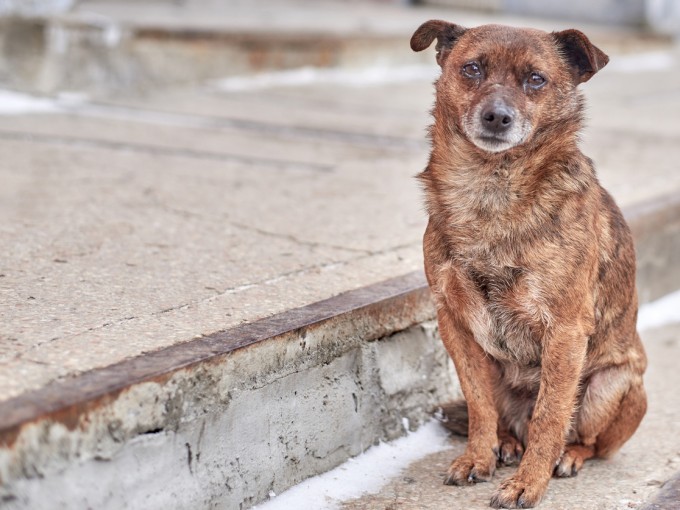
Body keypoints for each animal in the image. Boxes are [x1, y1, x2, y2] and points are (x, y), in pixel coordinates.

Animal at [410, 18, 648, 506]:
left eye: (536, 79)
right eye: (472, 68)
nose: (497, 116)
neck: (491, 188)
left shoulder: (565, 330)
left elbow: (550, 415)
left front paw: (528, 482)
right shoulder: (454, 323)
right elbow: (479, 405)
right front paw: (477, 457)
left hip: (609, 386)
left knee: (588, 440)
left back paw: (567, 456)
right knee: (504, 418)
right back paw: (505, 444)